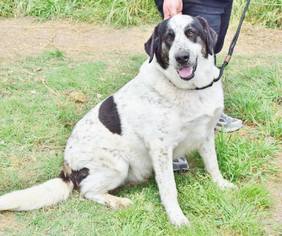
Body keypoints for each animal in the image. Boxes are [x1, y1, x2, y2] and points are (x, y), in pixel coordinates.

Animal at [0, 15, 236, 227]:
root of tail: (67, 167)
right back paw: (118, 201)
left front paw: (221, 185)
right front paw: (176, 218)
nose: (182, 57)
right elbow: (169, 189)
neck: (190, 89)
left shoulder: (206, 134)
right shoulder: (160, 149)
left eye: (191, 33)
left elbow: (213, 166)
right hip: (119, 165)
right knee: (87, 191)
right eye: (168, 38)